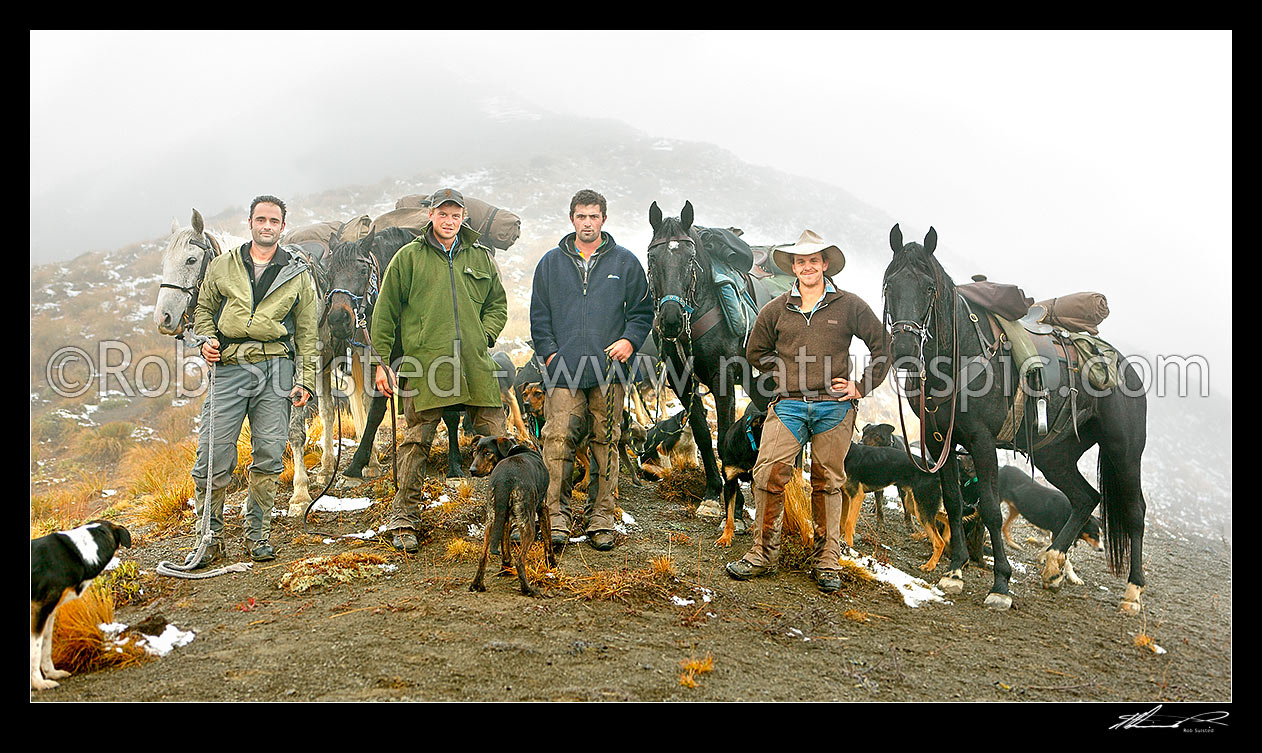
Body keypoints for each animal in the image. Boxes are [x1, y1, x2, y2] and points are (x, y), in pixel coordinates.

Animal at [31, 519, 133, 691]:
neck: (75, 554)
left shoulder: (49, 612)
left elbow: (45, 646)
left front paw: (52, 673)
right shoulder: (38, 610)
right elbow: (35, 651)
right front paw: (39, 682)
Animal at [466, 431, 555, 595]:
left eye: (487, 453)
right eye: (475, 452)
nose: (472, 470)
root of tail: (505, 479)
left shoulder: (504, 517)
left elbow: (505, 544)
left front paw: (505, 567)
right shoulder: (543, 508)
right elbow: (548, 542)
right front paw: (552, 564)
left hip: (491, 518)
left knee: (483, 555)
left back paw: (477, 585)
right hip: (528, 524)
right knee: (520, 560)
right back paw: (528, 589)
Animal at [651, 203, 777, 522]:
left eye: (690, 258)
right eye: (653, 258)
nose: (671, 320)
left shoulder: (723, 379)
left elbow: (724, 438)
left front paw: (737, 505)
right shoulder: (682, 382)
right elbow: (703, 435)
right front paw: (710, 494)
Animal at [883, 223, 1150, 610]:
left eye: (929, 287)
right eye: (890, 284)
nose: (904, 348)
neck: (961, 356)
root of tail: (1127, 369)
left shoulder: (981, 442)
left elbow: (991, 509)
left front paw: (1000, 585)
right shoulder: (938, 443)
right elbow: (954, 502)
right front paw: (955, 571)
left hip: (1124, 452)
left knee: (1134, 511)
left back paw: (1133, 592)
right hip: (1057, 455)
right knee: (1086, 498)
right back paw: (1053, 566)